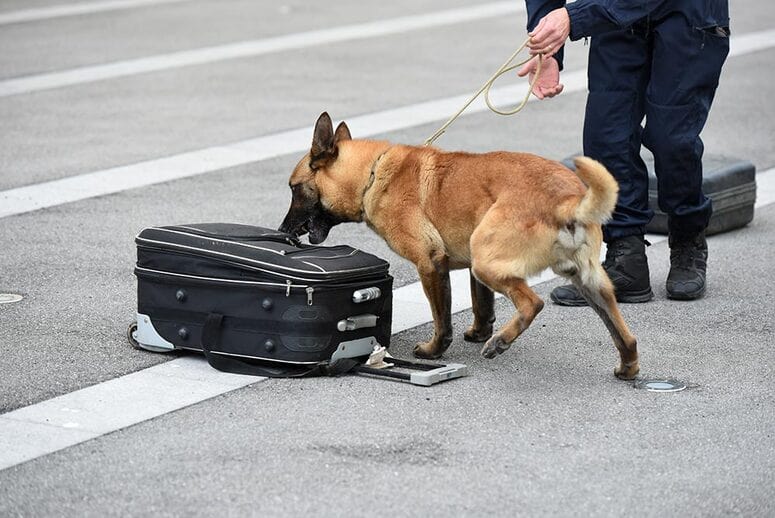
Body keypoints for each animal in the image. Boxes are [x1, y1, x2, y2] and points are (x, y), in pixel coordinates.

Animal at [282, 112, 640, 382]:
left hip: (487, 261)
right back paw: (628, 366)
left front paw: (434, 351)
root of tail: (568, 200)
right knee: (626, 335)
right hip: (589, 284)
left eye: (295, 189)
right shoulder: (469, 270)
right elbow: (481, 304)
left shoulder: (430, 264)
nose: (283, 230)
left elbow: (442, 319)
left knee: (532, 303)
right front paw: (479, 331)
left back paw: (500, 342)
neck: (373, 172)